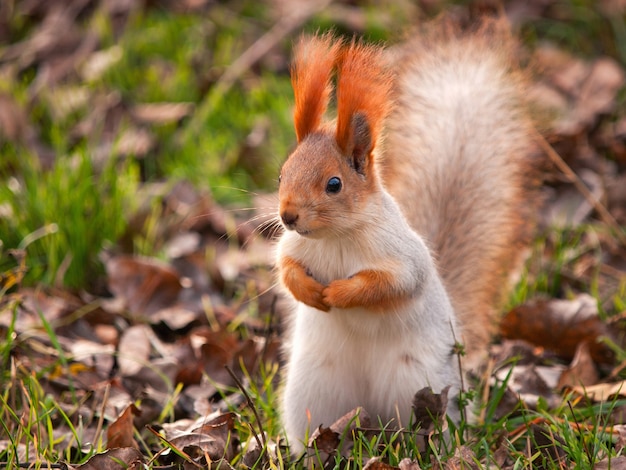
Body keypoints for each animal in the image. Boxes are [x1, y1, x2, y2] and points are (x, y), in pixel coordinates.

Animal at [276, 16, 540, 454]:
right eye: (282, 173)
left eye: (334, 184)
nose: (287, 215)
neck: (337, 237)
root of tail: (371, 411)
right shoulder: (294, 245)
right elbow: (286, 266)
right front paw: (309, 291)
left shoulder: (402, 256)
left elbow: (391, 283)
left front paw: (339, 293)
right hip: (313, 392)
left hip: (419, 382)